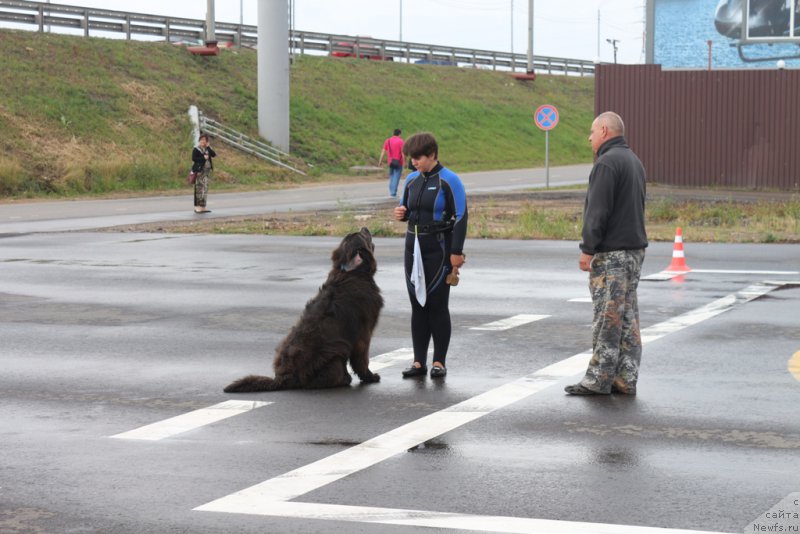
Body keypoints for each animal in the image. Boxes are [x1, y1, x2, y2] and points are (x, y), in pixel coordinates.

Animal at [223, 227, 386, 394]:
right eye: (362, 236)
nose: (364, 228)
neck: (351, 273)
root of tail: (281, 379)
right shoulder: (363, 334)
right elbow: (362, 359)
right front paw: (371, 377)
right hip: (335, 355)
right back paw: (344, 379)